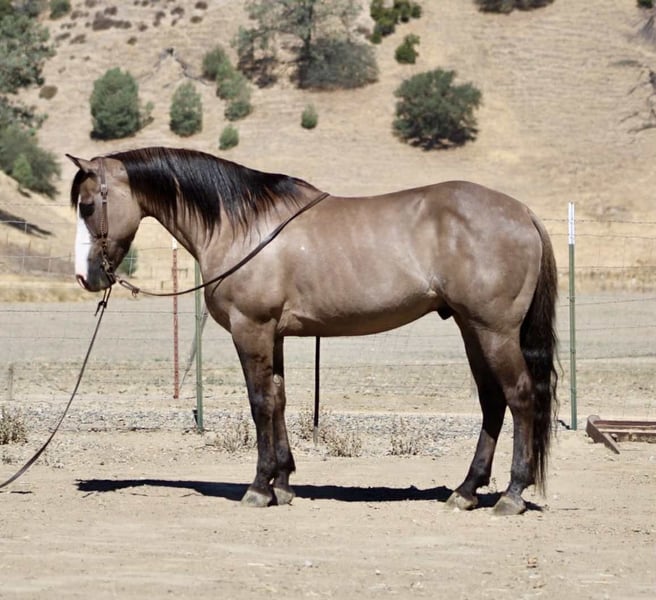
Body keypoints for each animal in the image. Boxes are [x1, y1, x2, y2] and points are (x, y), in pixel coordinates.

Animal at [68, 146, 558, 515]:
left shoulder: (251, 330)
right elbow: (279, 400)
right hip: (471, 328)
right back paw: (466, 491)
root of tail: (523, 212)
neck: (244, 226)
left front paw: (259, 487)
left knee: (519, 397)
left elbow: (260, 403)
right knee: (492, 402)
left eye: (88, 205)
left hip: (494, 331)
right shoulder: (274, 335)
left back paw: (512, 495)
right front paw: (283, 483)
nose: (85, 277)